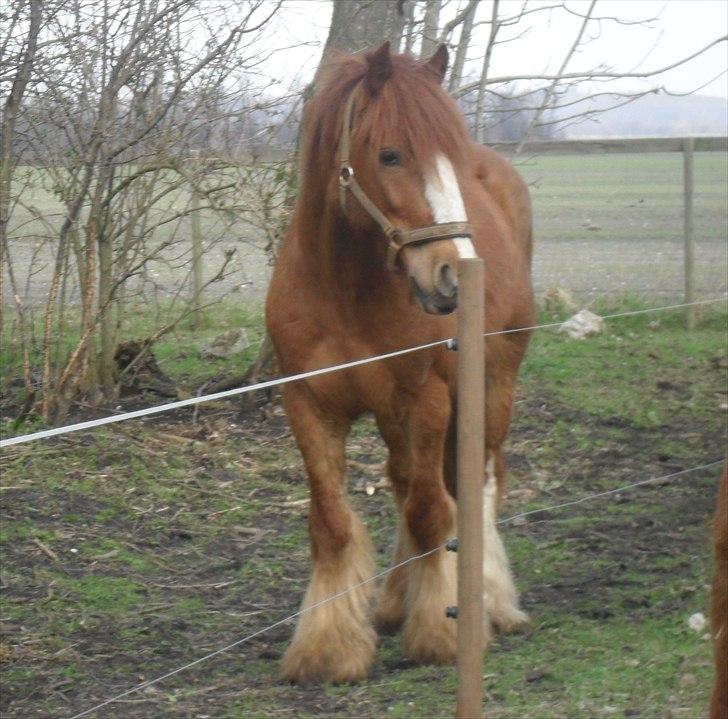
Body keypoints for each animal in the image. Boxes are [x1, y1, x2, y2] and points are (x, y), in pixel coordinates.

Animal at [266, 40, 536, 688]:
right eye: (390, 155)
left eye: (451, 160)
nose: (451, 275)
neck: (345, 291)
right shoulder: (309, 407)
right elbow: (334, 521)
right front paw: (328, 648)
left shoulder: (427, 399)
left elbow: (433, 512)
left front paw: (442, 630)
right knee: (405, 481)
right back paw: (394, 602)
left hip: (494, 384)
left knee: (481, 482)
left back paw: (490, 601)